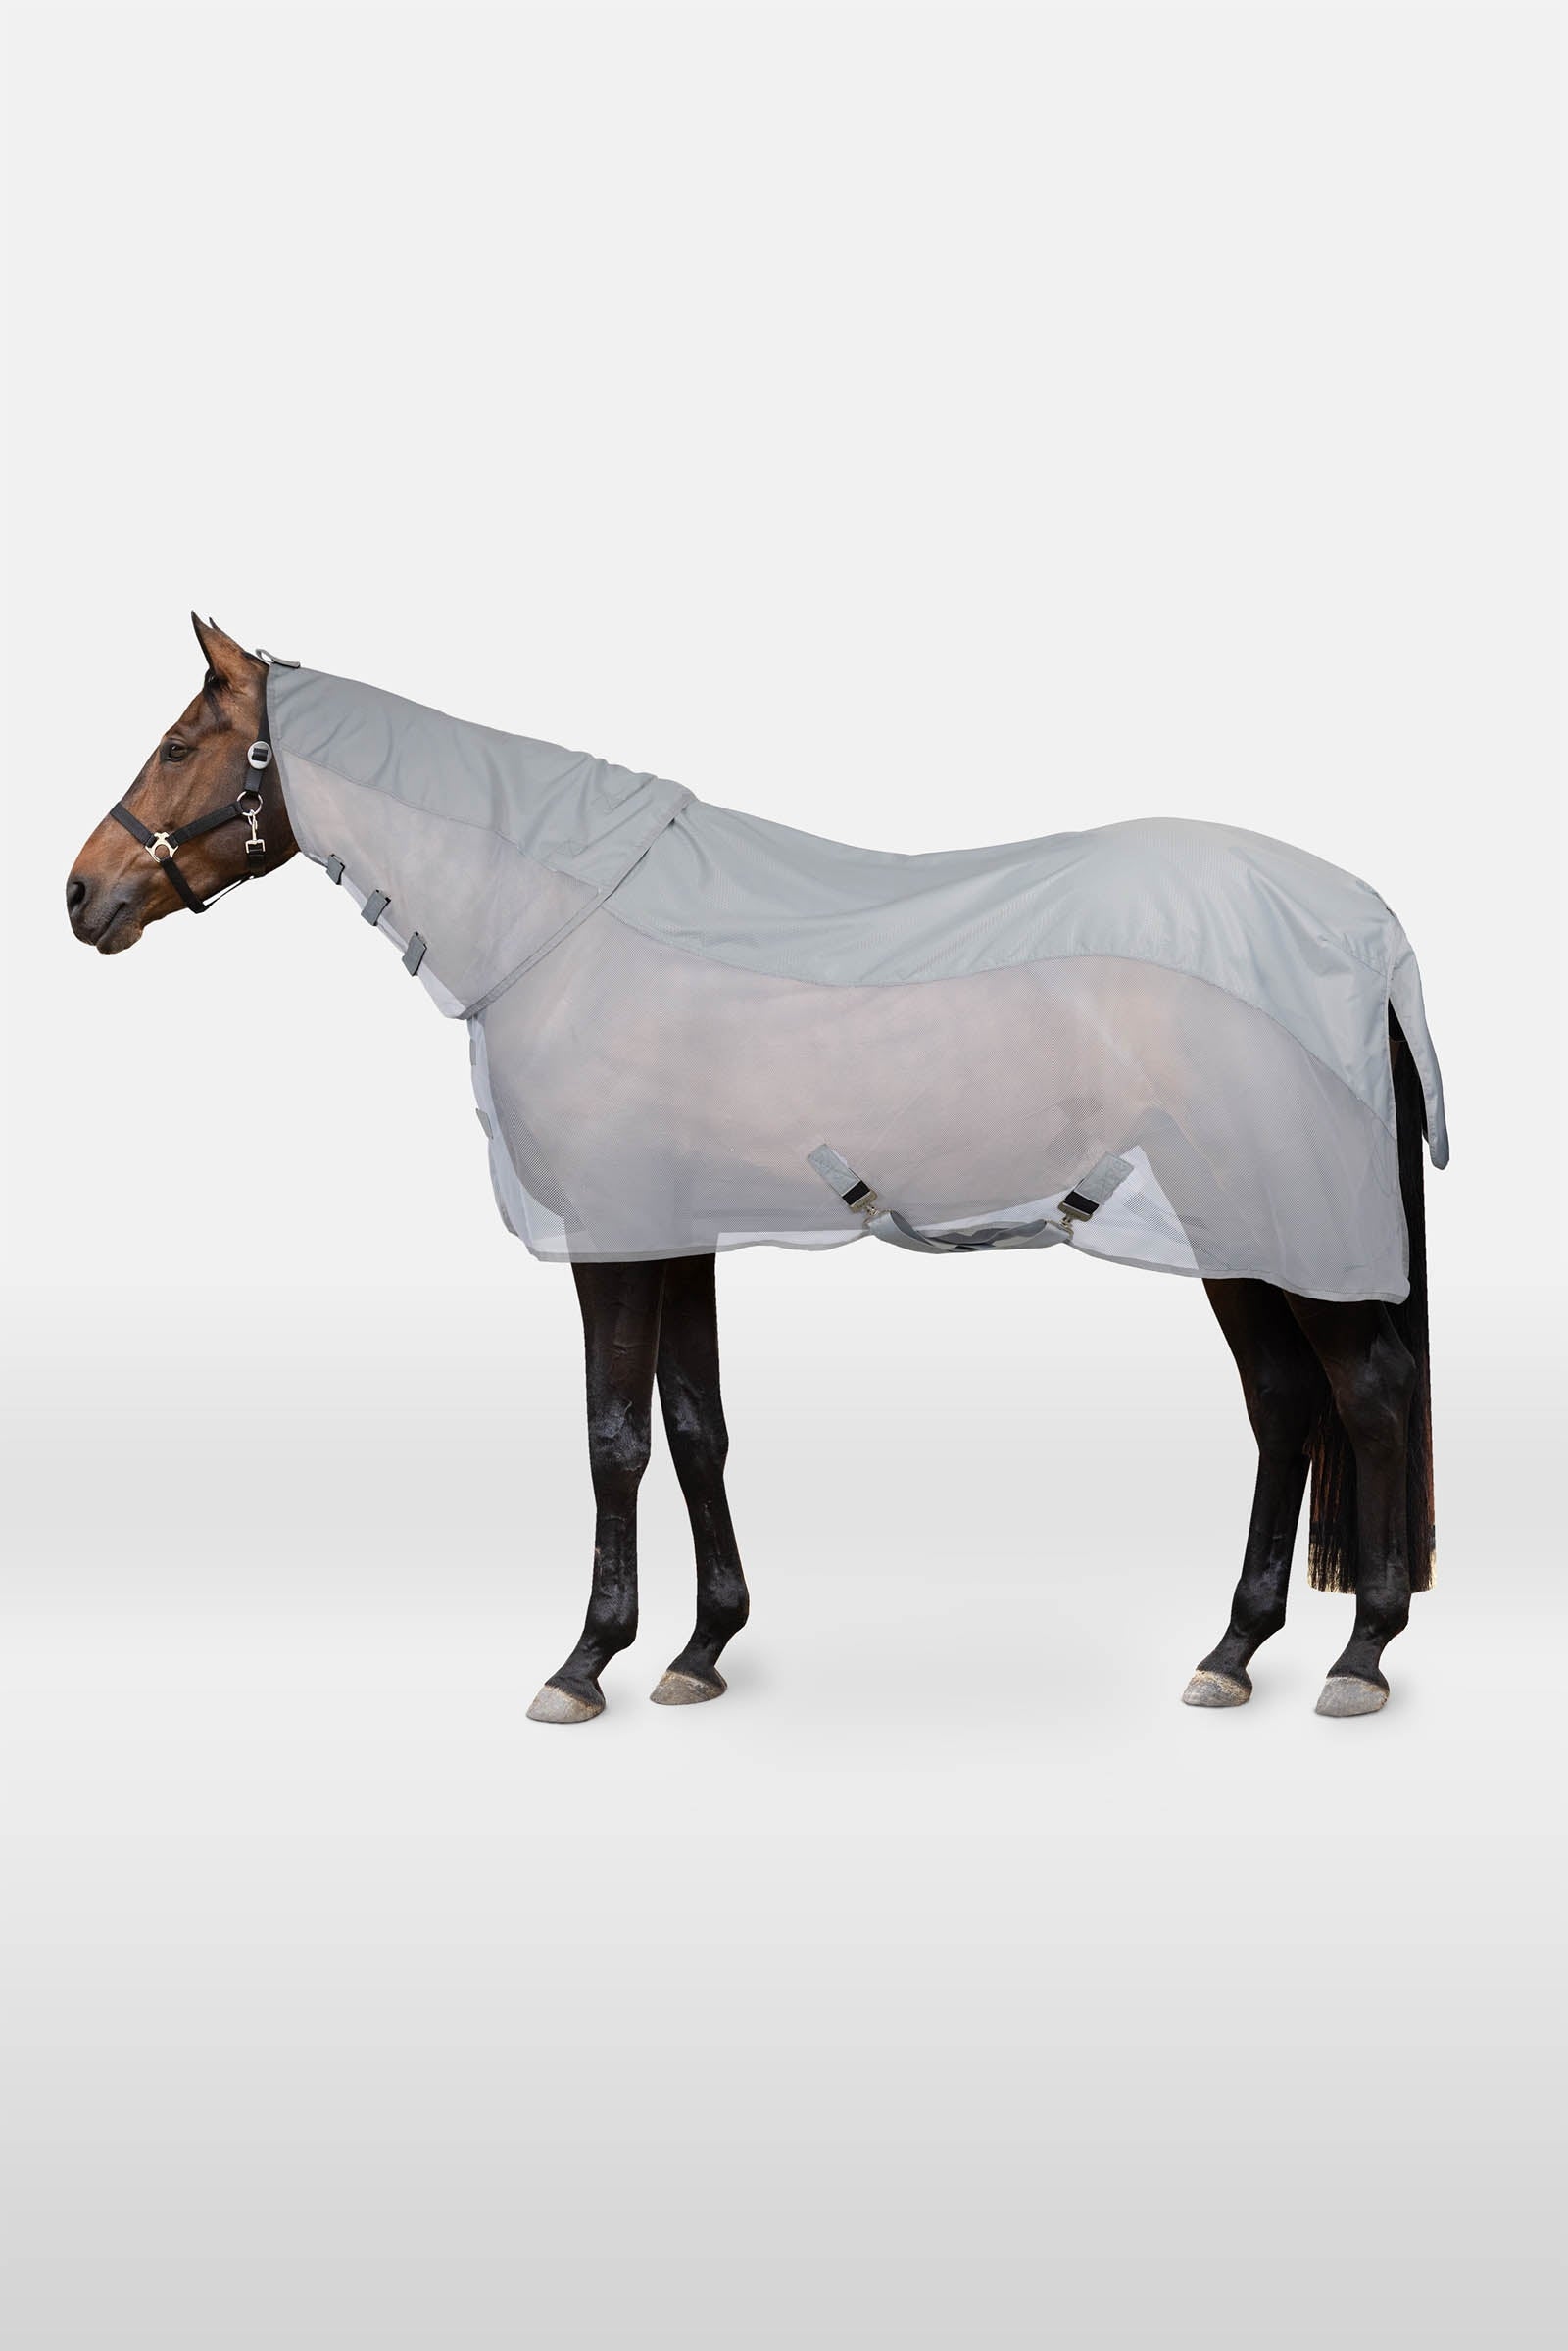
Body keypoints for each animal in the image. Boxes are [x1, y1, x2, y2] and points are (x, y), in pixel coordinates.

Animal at [66, 616, 1439, 1723]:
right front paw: (700, 1648)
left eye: (181, 744)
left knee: (1366, 1395)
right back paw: (1233, 1649)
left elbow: (614, 1437)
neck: (561, 922)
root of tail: (1367, 926)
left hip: (1291, 1228)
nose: (81, 894)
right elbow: (696, 1427)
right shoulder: (676, 1231)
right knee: (1286, 1403)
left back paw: (1360, 1654)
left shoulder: (611, 1236)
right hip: (1232, 1230)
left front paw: (585, 1663)